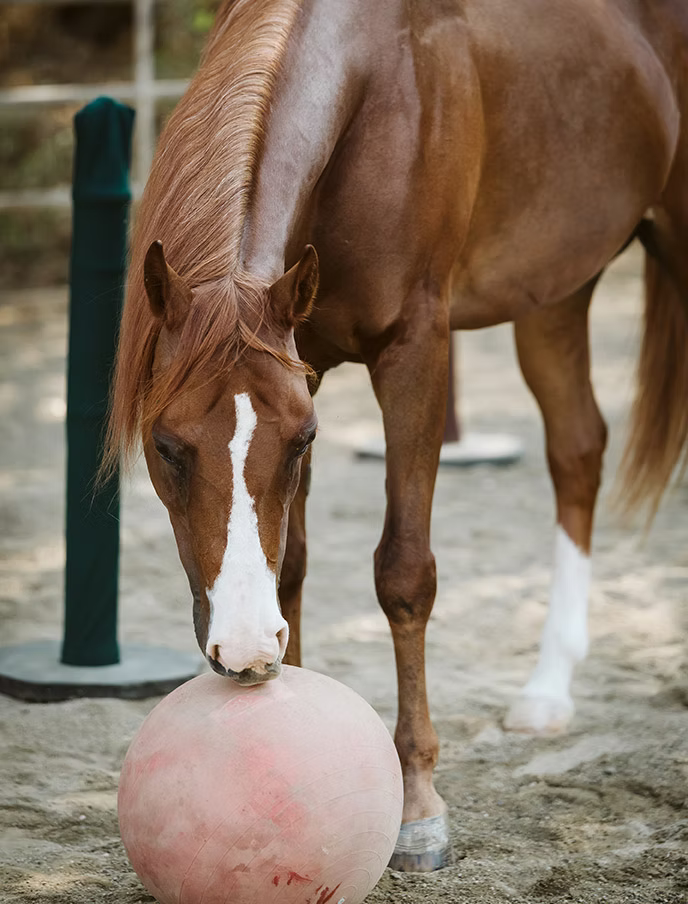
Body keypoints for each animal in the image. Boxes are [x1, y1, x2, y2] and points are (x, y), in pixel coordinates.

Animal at [104, 0, 688, 872]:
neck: (379, 76)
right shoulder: (307, 358)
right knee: (577, 451)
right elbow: (295, 562)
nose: (244, 646)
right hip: (556, 289)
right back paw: (548, 690)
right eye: (167, 447)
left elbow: (404, 573)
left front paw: (419, 809)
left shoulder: (416, 348)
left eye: (304, 440)